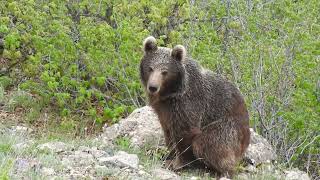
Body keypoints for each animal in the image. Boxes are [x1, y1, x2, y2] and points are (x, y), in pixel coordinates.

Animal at [139, 35, 250, 176]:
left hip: (229, 127)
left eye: (164, 71)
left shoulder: (188, 102)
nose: (153, 87)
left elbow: (185, 131)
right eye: (150, 68)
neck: (170, 93)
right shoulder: (164, 109)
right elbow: (168, 131)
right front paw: (166, 153)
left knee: (207, 143)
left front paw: (177, 163)